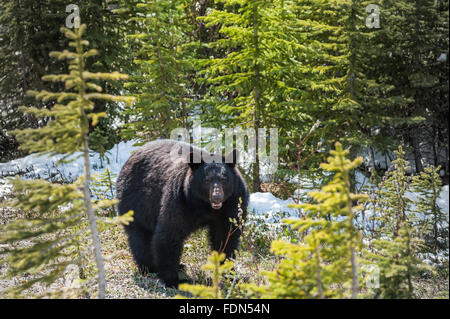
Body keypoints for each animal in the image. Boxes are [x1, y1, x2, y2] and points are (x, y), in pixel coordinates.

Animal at [116, 139, 250, 288]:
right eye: (207, 180)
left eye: (224, 179)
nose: (217, 197)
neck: (205, 206)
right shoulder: (180, 199)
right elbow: (170, 233)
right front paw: (173, 279)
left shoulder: (232, 203)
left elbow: (226, 235)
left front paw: (228, 273)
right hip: (137, 202)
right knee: (140, 237)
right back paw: (148, 267)